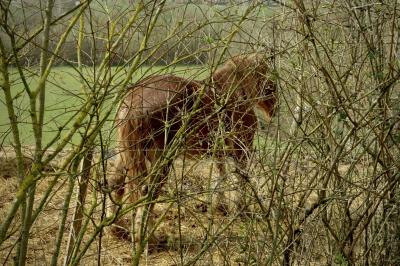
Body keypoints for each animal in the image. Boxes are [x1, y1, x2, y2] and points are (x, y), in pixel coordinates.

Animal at [109, 53, 276, 252]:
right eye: (268, 75)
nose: (274, 107)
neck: (235, 90)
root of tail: (134, 99)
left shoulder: (218, 152)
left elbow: (220, 178)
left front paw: (218, 207)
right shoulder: (241, 149)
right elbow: (239, 180)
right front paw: (240, 210)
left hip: (125, 153)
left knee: (116, 183)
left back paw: (117, 229)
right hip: (160, 159)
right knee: (146, 194)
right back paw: (149, 240)